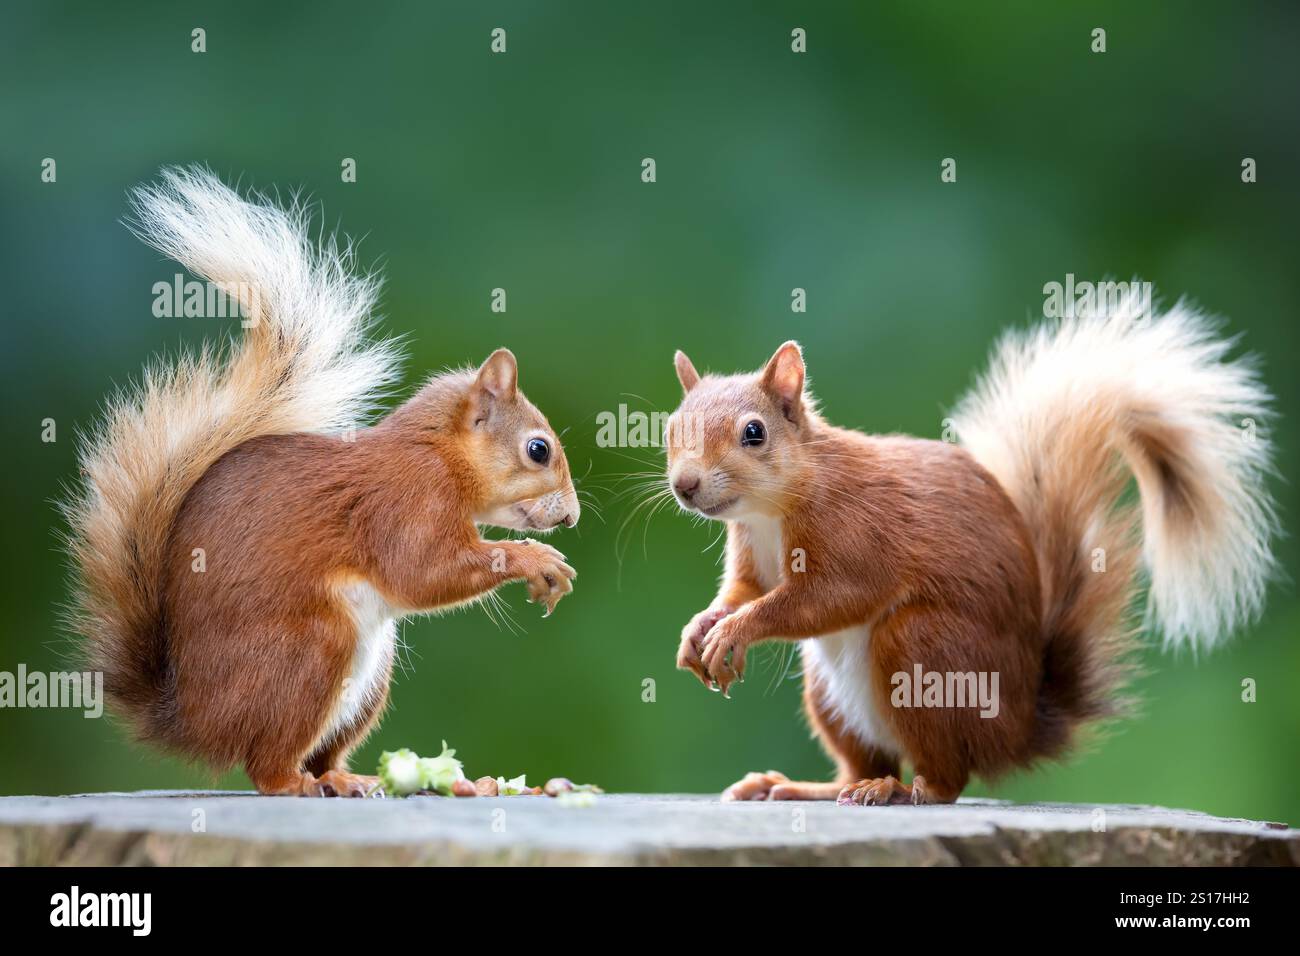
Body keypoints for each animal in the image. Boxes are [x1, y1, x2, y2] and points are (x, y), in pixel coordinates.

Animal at [61, 167, 579, 797]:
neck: (438, 454)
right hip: (312, 649)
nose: (572, 516)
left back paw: (359, 778)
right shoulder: (405, 500)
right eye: (538, 449)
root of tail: (189, 719)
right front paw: (535, 560)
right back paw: (294, 783)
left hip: (368, 678)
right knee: (266, 765)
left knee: (322, 754)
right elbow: (421, 570)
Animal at [667, 302, 1276, 805]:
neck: (770, 510)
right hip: (828, 689)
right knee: (862, 762)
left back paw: (898, 790)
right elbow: (745, 590)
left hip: (923, 654)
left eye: (754, 432)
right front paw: (701, 628)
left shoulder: (854, 536)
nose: (685, 486)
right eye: (671, 427)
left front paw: (737, 631)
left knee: (947, 779)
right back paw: (807, 786)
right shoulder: (750, 549)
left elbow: (829, 597)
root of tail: (1018, 730)